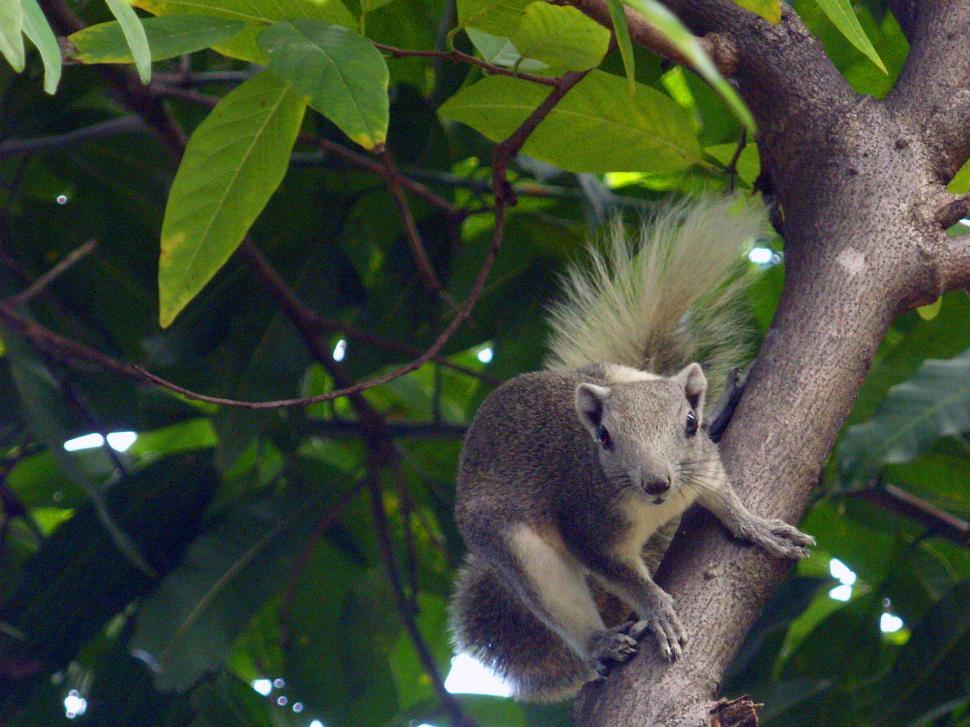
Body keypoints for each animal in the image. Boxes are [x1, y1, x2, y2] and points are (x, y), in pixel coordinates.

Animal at [448, 196, 815, 702]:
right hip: (511, 545)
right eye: (605, 438)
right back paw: (602, 642)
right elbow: (621, 575)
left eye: (688, 424)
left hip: (618, 371)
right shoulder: (587, 526)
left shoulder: (704, 466)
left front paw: (757, 527)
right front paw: (657, 609)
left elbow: (726, 499)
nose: (656, 481)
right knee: (557, 599)